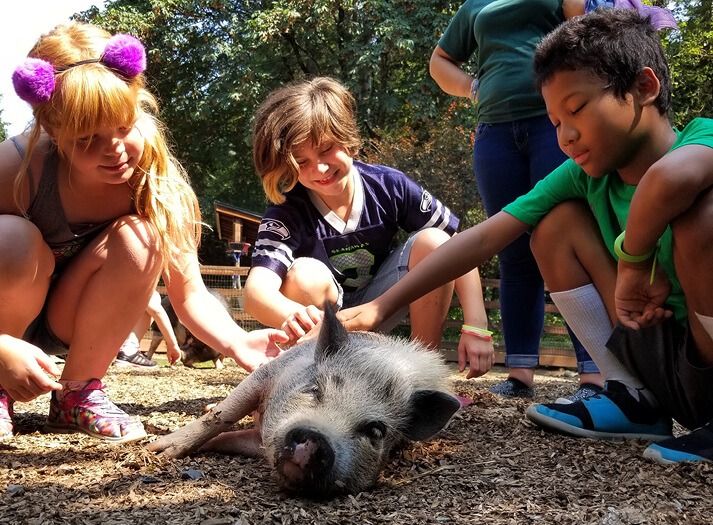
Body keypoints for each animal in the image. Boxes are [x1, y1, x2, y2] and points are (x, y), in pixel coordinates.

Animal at [147, 305, 462, 498]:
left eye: (375, 430)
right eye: (314, 389)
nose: (316, 438)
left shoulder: (261, 440)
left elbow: (228, 438)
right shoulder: (267, 374)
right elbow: (225, 414)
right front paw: (156, 451)